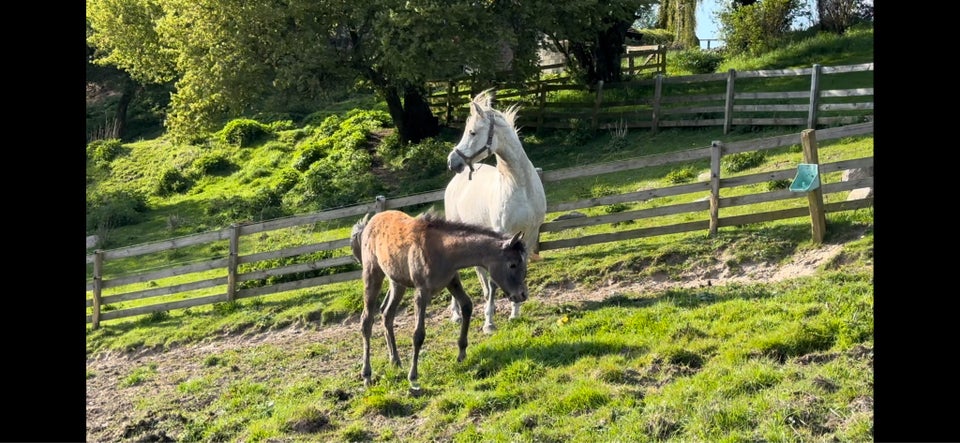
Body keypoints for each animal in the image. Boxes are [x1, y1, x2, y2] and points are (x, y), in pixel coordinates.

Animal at [444, 90, 544, 332]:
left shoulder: (530, 235)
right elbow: (493, 278)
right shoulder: (502, 236)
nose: (452, 162)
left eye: (472, 132)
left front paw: (515, 312)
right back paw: (456, 314)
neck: (520, 186)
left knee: (479, 270)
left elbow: (520, 268)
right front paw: (489, 323)